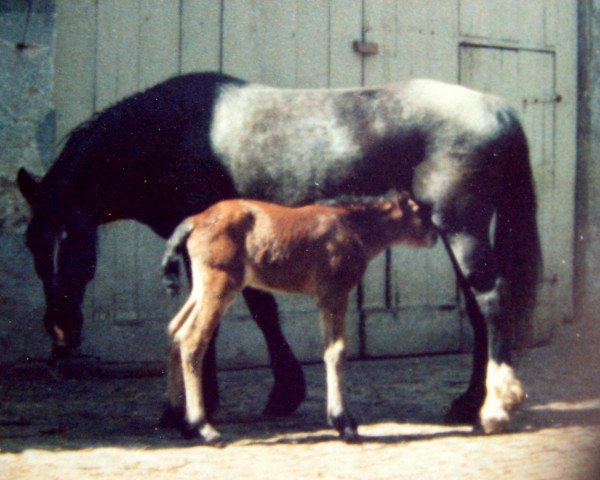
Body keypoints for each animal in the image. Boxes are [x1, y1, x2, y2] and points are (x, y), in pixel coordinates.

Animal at [17, 71, 540, 432]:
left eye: (73, 237)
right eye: (33, 243)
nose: (61, 332)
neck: (171, 134)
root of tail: (499, 110)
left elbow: (236, 315)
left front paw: (206, 403)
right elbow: (257, 308)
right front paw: (275, 393)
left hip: (462, 228)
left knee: (492, 298)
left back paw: (494, 407)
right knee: (478, 306)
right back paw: (468, 403)